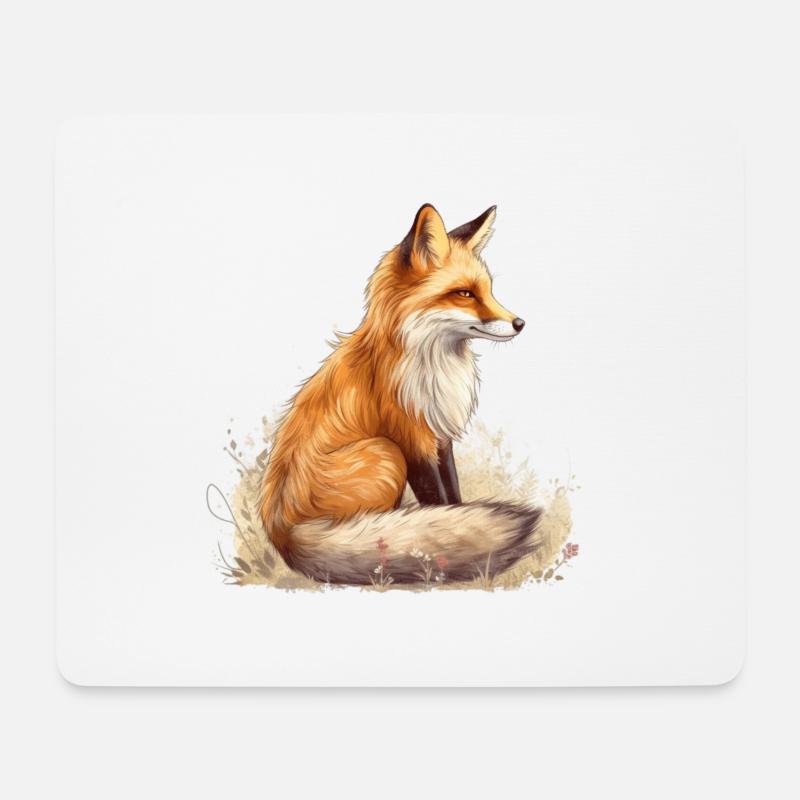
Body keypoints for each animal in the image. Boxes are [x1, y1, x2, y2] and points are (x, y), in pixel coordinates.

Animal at [259, 204, 543, 585]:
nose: (520, 324)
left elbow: (453, 496)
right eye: (465, 294)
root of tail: (282, 535)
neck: (432, 364)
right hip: (384, 452)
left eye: (488, 291)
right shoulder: (411, 439)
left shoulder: (439, 437)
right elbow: (438, 500)